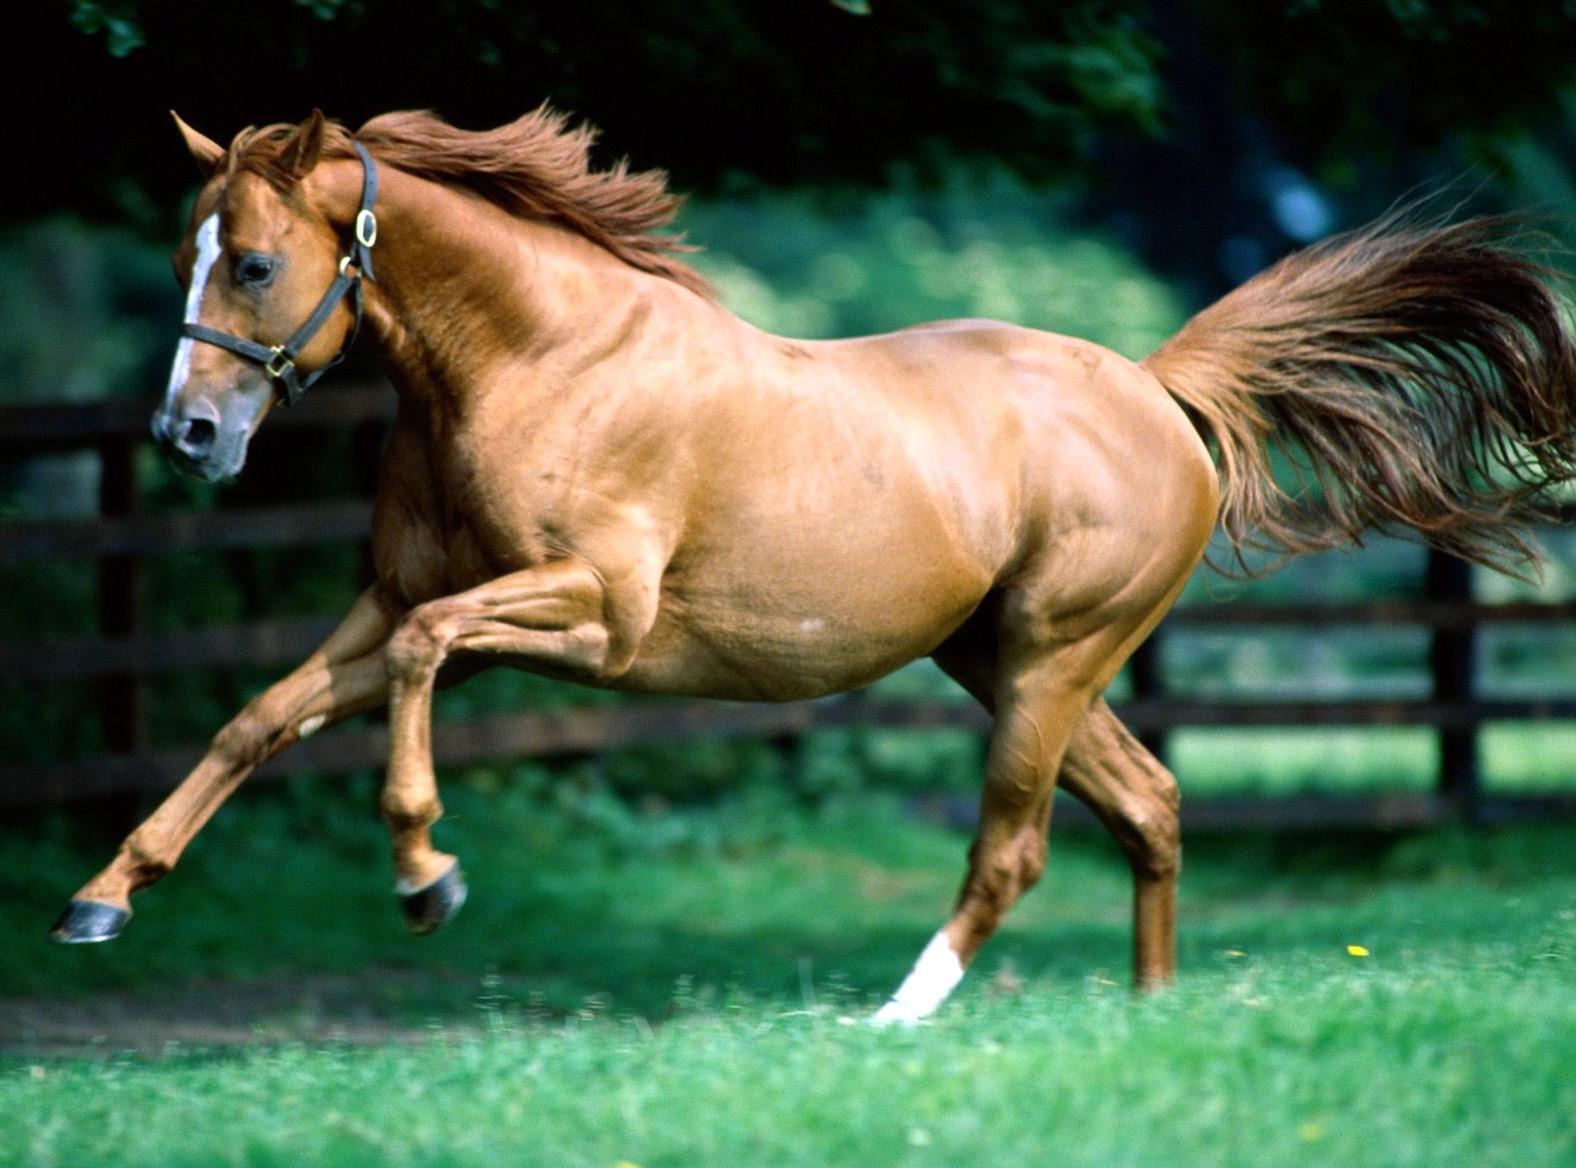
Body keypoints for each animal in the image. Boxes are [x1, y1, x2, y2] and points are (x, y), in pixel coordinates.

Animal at [49, 106, 1576, 1025]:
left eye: (251, 263)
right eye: (186, 256)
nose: (187, 435)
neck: (539, 361)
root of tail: (1154, 388)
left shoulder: (592, 620)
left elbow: (420, 671)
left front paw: (429, 875)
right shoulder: (394, 600)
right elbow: (256, 718)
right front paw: (101, 900)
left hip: (1052, 660)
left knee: (1015, 847)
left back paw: (898, 1015)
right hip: (1000, 660)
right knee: (1148, 805)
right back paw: (1149, 1015)